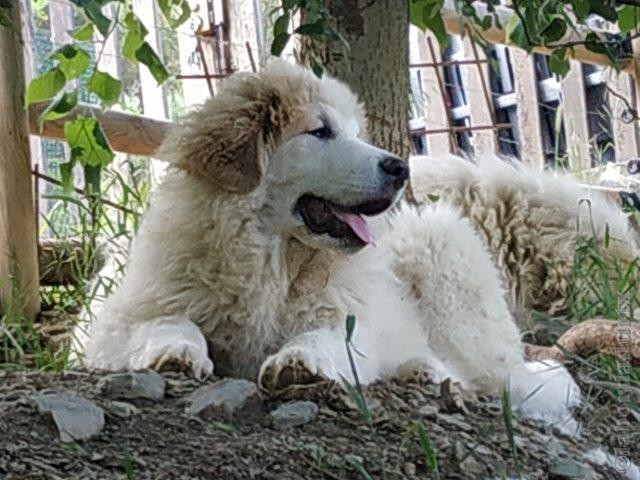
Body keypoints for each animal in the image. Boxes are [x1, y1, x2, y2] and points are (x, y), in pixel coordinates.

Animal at [75, 60, 580, 418]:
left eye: (356, 134)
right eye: (321, 132)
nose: (400, 168)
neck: (274, 258)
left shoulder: (352, 316)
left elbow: (325, 335)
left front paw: (298, 362)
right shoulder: (119, 320)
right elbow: (168, 321)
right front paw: (176, 350)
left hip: (439, 251)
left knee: (481, 373)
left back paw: (428, 371)